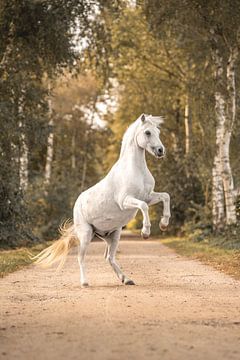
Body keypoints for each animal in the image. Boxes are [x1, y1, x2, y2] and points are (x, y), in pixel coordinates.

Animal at [34, 114, 172, 286]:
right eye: (147, 132)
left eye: (158, 131)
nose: (161, 151)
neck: (136, 170)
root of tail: (77, 203)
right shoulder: (126, 201)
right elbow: (143, 207)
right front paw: (145, 232)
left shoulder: (148, 196)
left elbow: (165, 196)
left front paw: (164, 224)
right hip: (86, 234)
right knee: (81, 257)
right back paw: (85, 282)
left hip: (113, 235)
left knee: (109, 257)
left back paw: (126, 279)